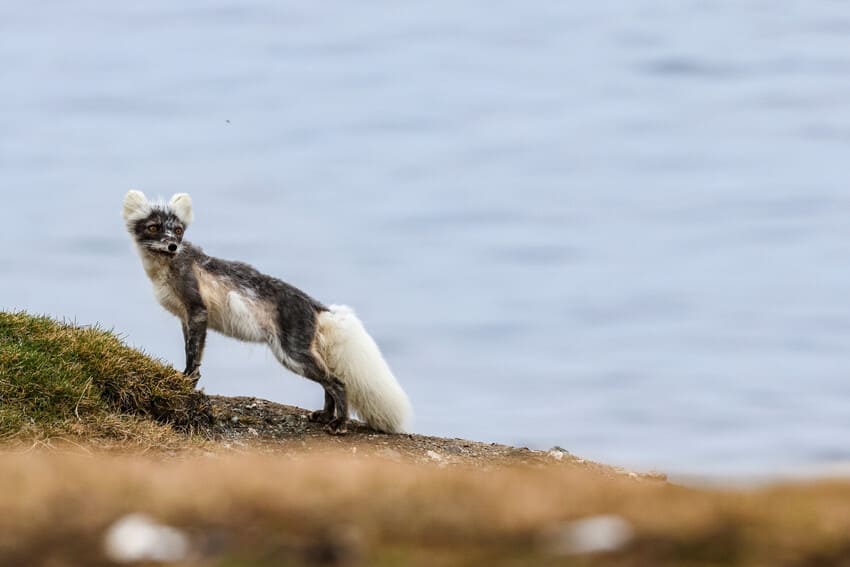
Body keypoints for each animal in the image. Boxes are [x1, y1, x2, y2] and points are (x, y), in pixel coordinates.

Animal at [122, 190, 412, 435]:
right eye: (153, 227)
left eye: (178, 230)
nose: (172, 246)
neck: (165, 269)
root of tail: (316, 305)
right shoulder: (186, 318)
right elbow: (190, 351)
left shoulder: (197, 310)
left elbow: (194, 357)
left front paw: (186, 382)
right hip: (299, 354)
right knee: (328, 381)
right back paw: (324, 417)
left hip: (292, 354)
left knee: (338, 382)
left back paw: (339, 424)